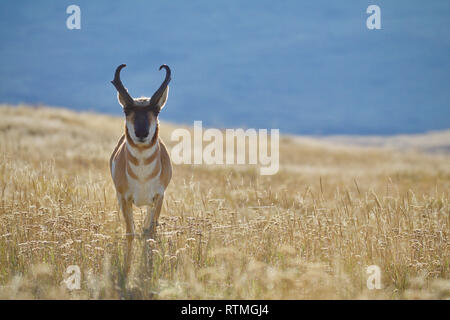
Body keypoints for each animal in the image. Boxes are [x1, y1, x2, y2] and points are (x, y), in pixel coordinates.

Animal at [109, 64, 172, 272]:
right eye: (126, 110)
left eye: (157, 111)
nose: (142, 133)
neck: (143, 175)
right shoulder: (124, 198)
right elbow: (130, 233)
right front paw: (127, 268)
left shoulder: (158, 197)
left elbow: (149, 232)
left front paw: (148, 268)